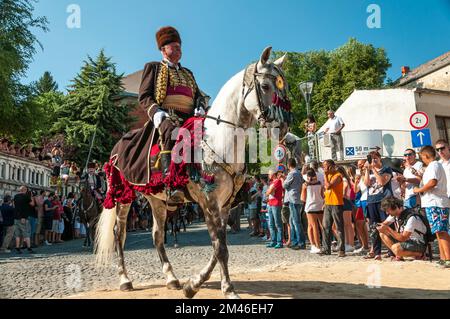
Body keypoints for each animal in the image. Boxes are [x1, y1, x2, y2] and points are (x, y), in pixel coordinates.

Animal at [96, 47, 290, 300]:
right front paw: (228, 289)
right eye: (265, 86)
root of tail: (117, 146)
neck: (219, 139)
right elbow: (220, 248)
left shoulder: (224, 206)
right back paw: (125, 279)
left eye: (283, 87)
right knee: (119, 233)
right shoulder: (209, 203)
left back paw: (171, 278)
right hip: (123, 196)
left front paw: (193, 284)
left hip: (156, 199)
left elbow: (219, 247)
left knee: (157, 235)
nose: (283, 126)